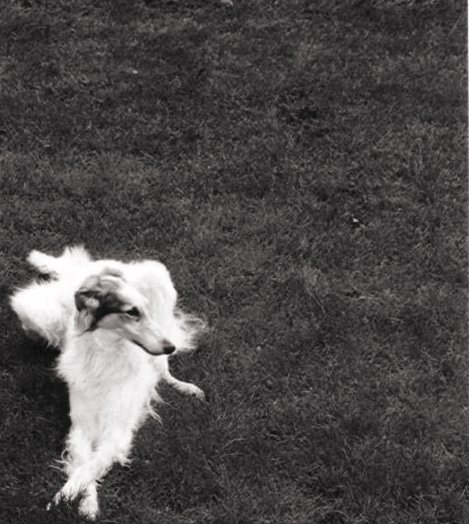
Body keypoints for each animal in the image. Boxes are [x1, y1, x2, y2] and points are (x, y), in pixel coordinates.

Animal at [9, 247, 206, 520]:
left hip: (158, 280)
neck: (105, 354)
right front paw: (85, 503)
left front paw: (62, 500)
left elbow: (89, 467)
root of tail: (88, 275)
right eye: (131, 312)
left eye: (142, 310)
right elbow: (83, 465)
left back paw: (186, 387)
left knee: (165, 370)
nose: (170, 346)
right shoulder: (80, 427)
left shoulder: (117, 433)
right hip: (34, 310)